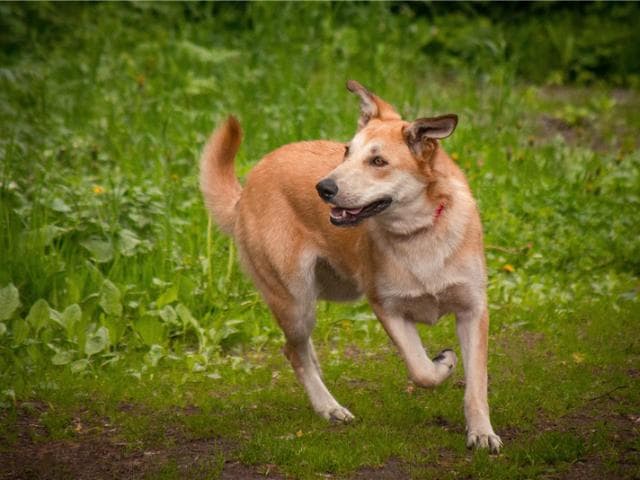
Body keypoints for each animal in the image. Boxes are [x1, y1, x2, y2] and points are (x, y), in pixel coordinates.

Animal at [202, 80, 502, 452]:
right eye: (346, 152)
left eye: (378, 161)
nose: (323, 188)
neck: (419, 233)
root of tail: (249, 185)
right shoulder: (386, 307)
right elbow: (421, 369)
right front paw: (443, 363)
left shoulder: (473, 310)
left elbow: (476, 383)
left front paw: (481, 432)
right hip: (296, 301)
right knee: (293, 351)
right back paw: (328, 407)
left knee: (301, 350)